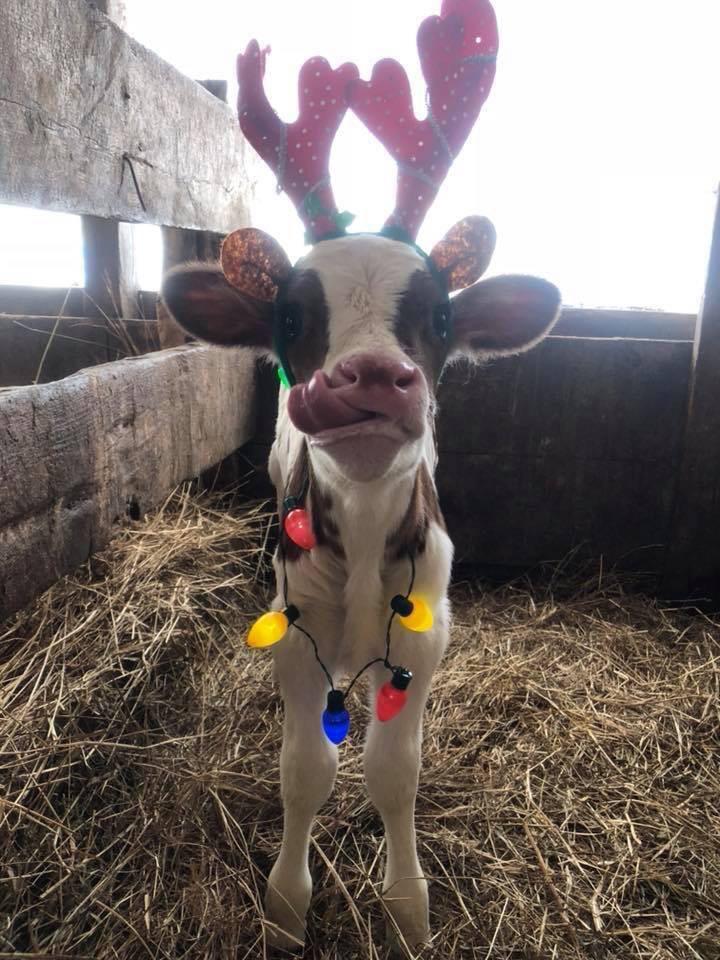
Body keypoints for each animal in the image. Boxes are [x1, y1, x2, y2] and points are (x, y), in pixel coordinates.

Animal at [161, 0, 560, 951]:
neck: (372, 549)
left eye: (441, 316)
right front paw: (285, 906)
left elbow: (392, 771)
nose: (371, 378)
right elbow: (306, 767)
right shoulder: (294, 624)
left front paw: (408, 909)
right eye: (291, 315)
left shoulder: (425, 634)